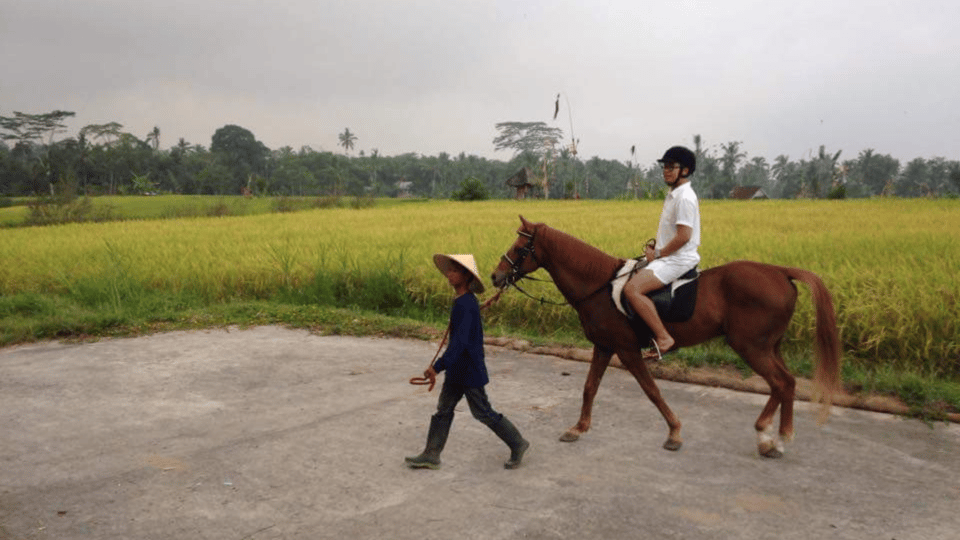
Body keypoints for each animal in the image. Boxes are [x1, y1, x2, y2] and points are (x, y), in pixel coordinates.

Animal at [490, 215, 841, 458]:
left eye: (520, 248)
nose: (495, 276)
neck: (599, 286)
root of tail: (781, 271)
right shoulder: (604, 346)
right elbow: (589, 388)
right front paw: (578, 428)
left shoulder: (627, 350)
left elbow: (652, 391)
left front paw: (674, 433)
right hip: (768, 347)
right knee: (786, 383)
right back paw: (771, 437)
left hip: (751, 347)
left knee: (781, 383)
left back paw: (773, 437)